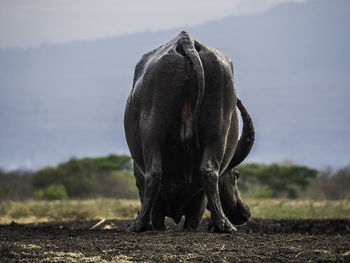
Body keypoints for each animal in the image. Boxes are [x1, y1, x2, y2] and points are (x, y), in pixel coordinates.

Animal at [123, 31, 254, 233]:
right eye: (236, 175)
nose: (245, 213)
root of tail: (186, 40)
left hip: (152, 125)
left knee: (154, 172)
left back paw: (139, 224)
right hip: (218, 126)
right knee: (209, 170)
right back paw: (223, 224)